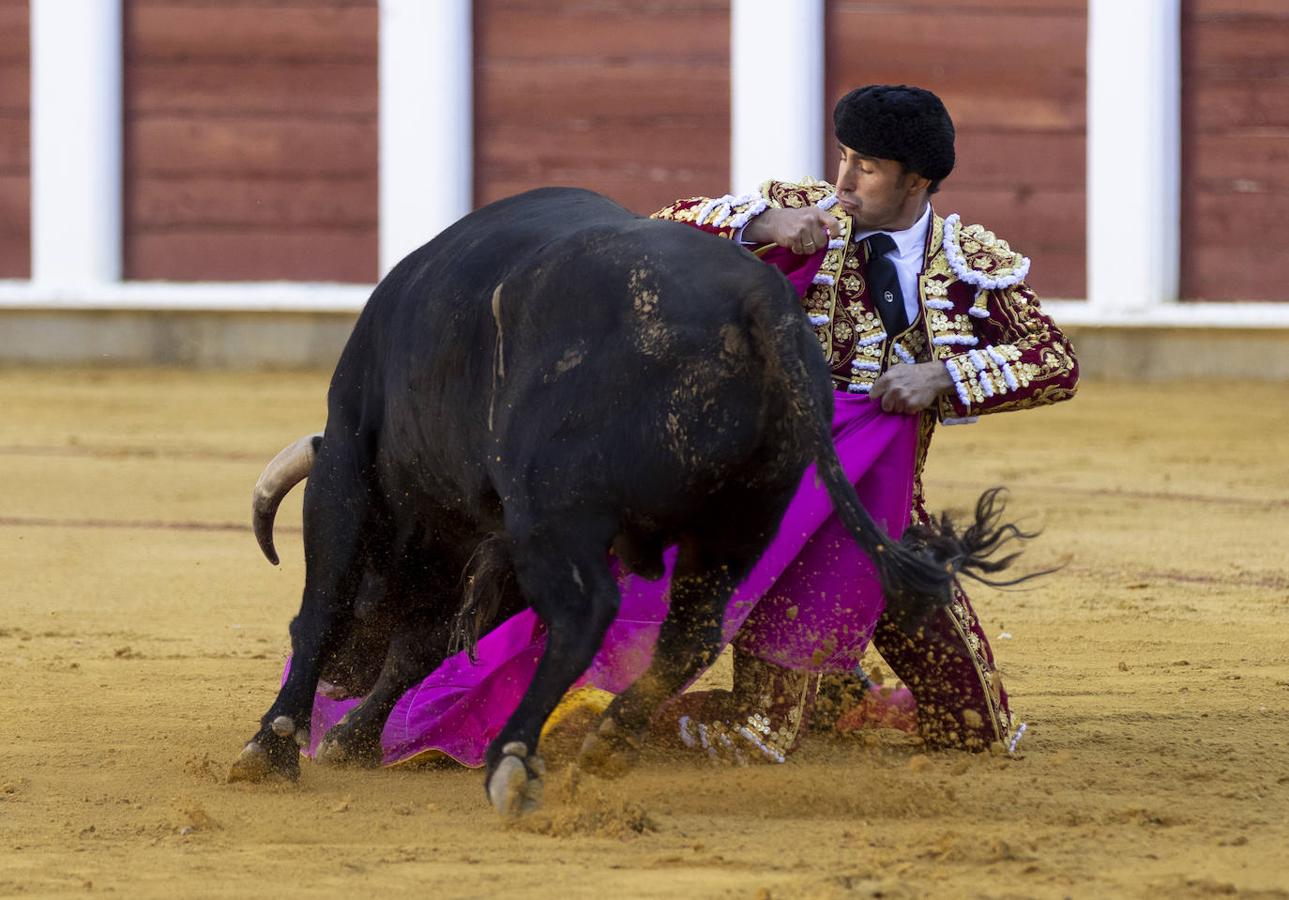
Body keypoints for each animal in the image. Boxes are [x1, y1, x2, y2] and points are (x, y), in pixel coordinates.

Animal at [224, 185, 1026, 809]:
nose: (343, 678)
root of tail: (756, 301)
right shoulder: (477, 544)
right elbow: (423, 644)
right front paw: (350, 738)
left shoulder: (350, 454)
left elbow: (324, 605)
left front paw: (274, 744)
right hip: (742, 518)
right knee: (689, 633)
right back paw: (607, 740)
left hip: (557, 512)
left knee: (585, 615)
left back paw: (513, 759)